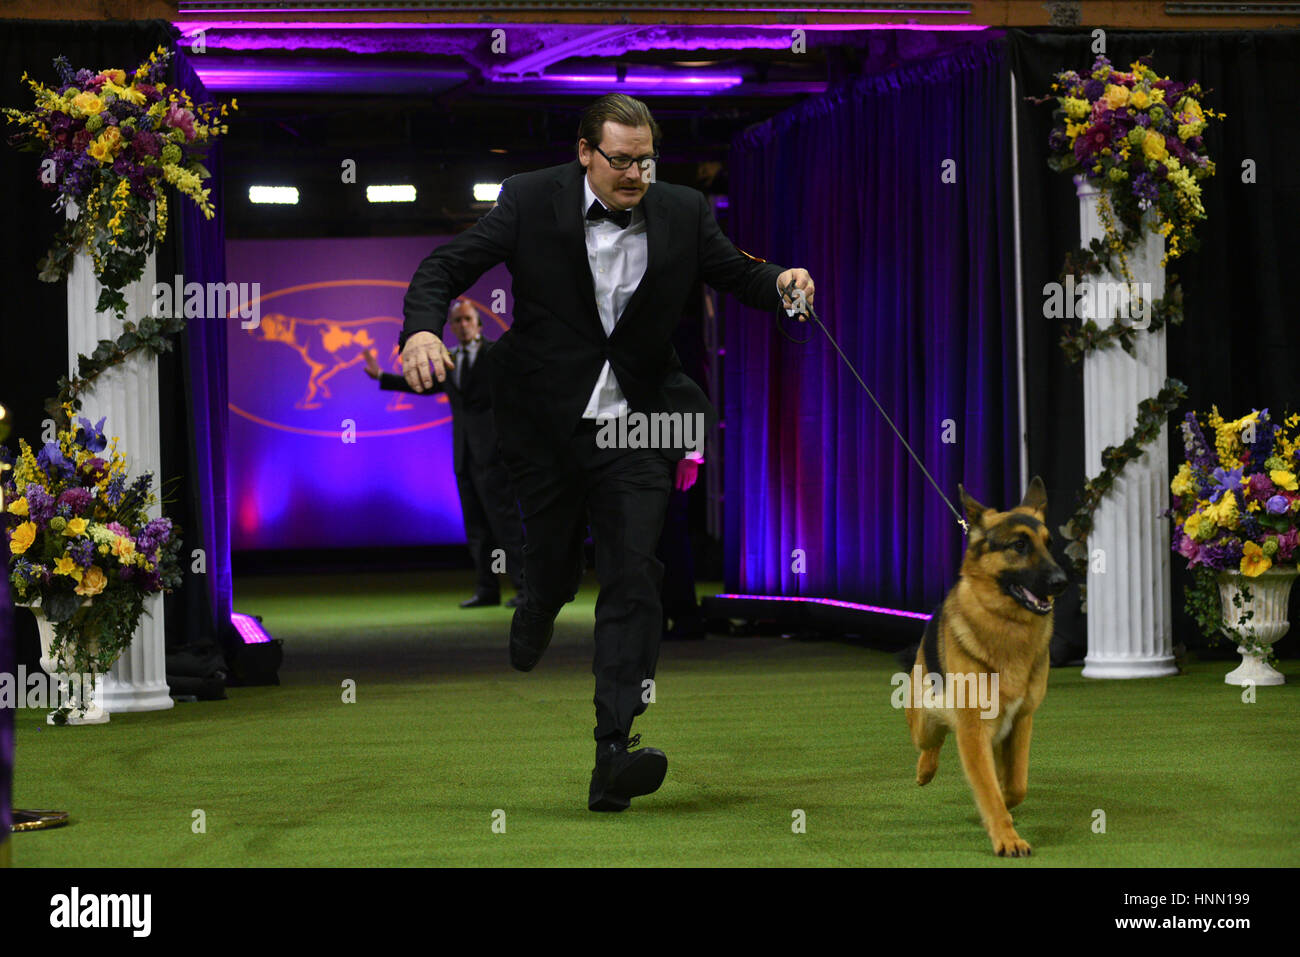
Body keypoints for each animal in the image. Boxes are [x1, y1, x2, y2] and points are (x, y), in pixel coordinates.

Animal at [904, 475, 1066, 858]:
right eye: (1019, 545)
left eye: (1049, 544)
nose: (1062, 582)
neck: (1007, 625)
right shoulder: (973, 728)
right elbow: (990, 792)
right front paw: (1007, 837)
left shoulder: (1021, 721)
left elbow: (1015, 785)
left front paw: (1006, 807)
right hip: (924, 720)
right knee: (930, 738)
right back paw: (925, 769)